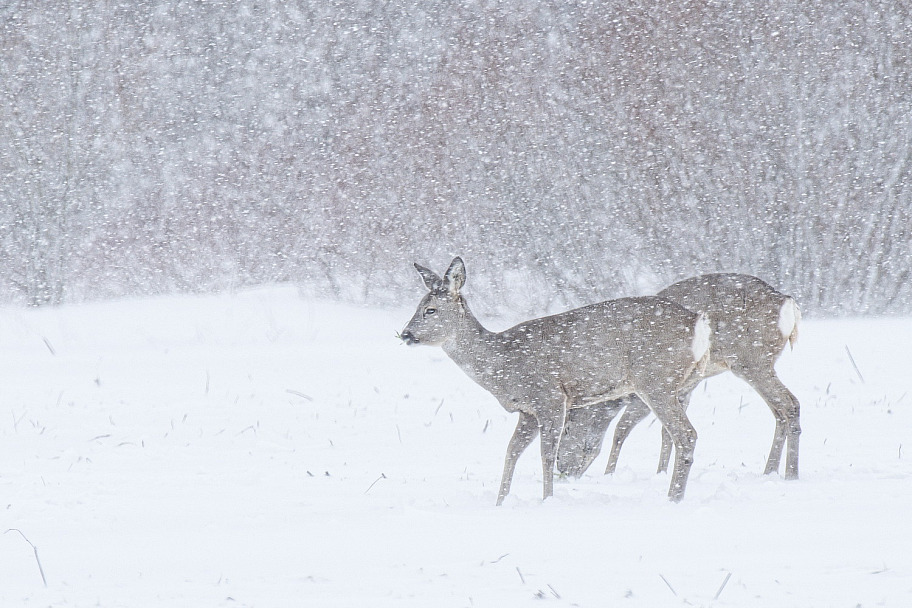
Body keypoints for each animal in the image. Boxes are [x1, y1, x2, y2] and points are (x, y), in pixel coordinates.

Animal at [400, 256, 712, 504]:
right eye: (417, 306)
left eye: (430, 310)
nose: (405, 334)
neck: (502, 363)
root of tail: (697, 322)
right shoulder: (527, 411)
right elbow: (511, 452)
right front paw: (500, 502)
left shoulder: (550, 397)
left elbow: (546, 455)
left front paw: (546, 500)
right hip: (683, 385)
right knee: (676, 435)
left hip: (656, 380)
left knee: (686, 434)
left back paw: (673, 499)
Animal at [552, 274, 800, 480]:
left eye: (566, 428)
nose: (562, 468)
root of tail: (787, 302)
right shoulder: (682, 389)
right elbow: (665, 433)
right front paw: (661, 472)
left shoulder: (643, 392)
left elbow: (621, 430)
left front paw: (609, 474)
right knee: (779, 411)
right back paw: (770, 471)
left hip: (750, 361)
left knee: (790, 404)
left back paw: (790, 474)